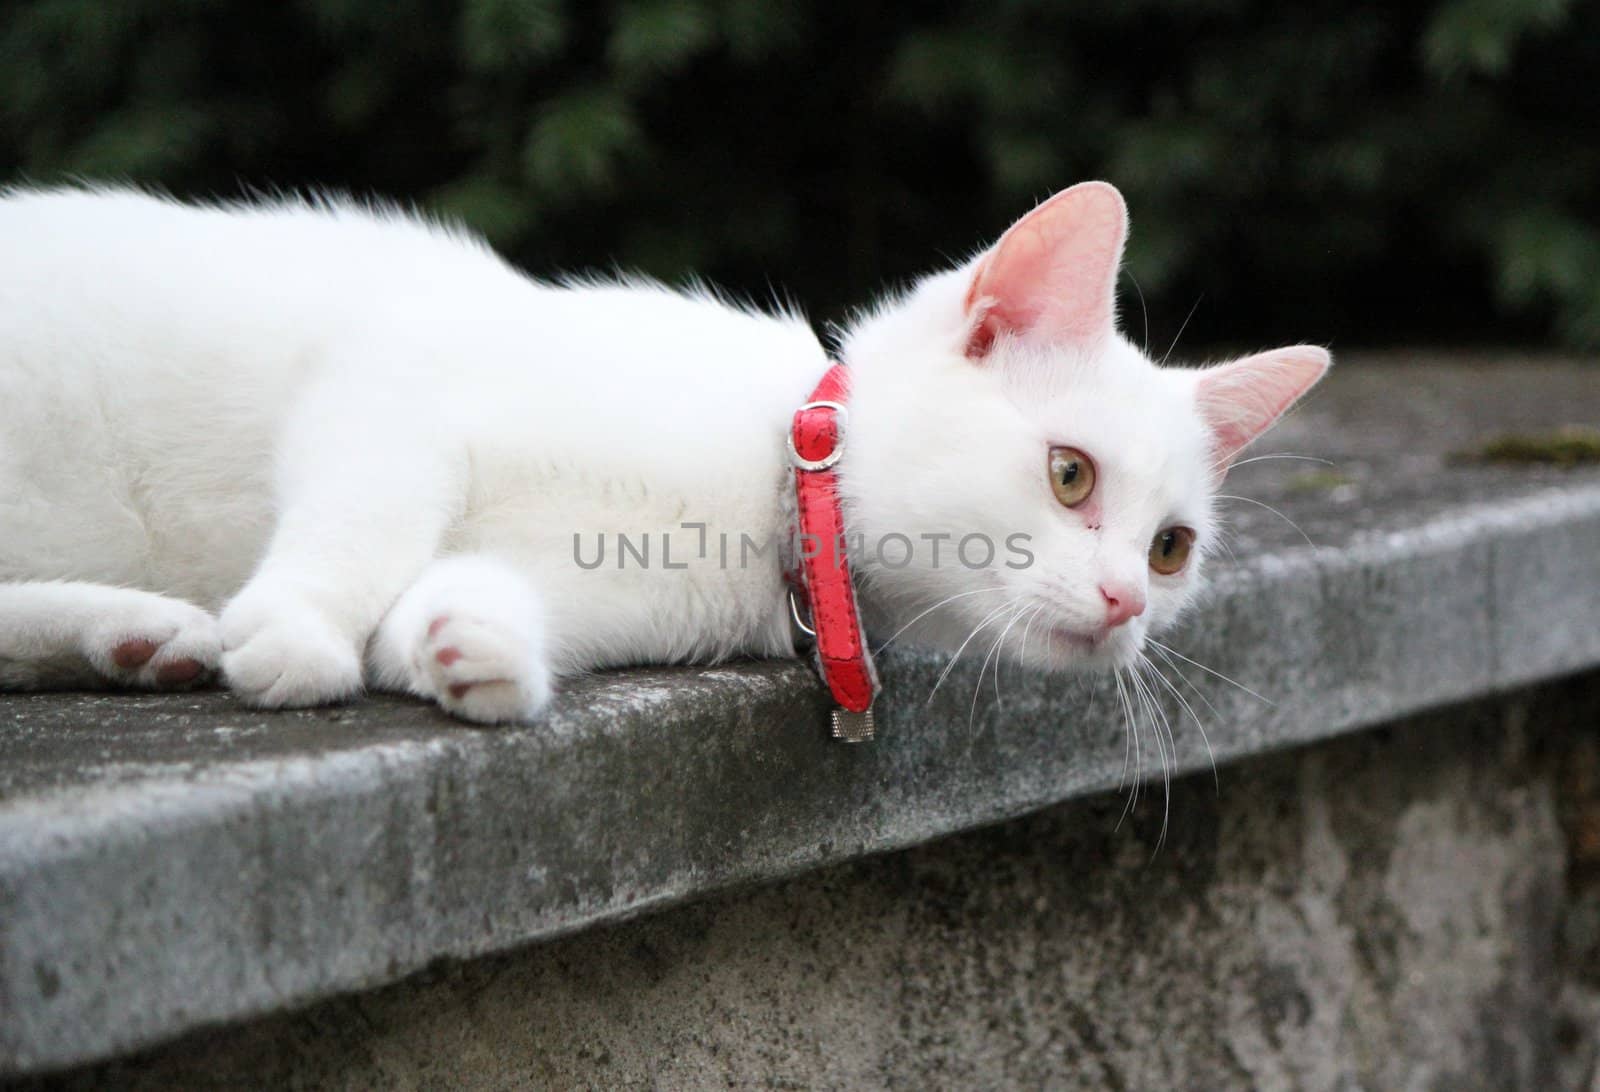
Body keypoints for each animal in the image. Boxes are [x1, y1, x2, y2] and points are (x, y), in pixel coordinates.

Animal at [0, 178, 1324, 723]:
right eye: (1069, 474)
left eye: (1170, 549)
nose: (1124, 604)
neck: (769, 491)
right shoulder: (389, 382)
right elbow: (364, 518)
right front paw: (300, 630)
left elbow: (451, 594)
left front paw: (468, 646)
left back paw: (136, 637)